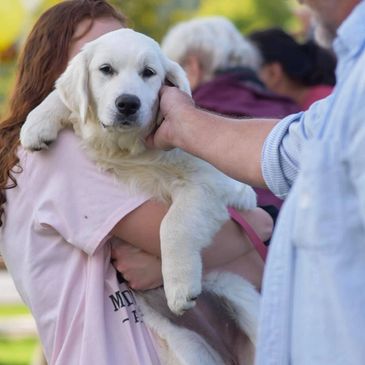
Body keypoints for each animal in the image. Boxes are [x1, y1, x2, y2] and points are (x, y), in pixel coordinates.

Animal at [19, 29, 258, 364]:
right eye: (106, 70)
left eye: (149, 73)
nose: (127, 104)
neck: (129, 148)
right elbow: (61, 96)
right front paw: (36, 125)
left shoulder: (211, 182)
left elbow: (174, 225)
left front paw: (179, 285)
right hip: (188, 348)